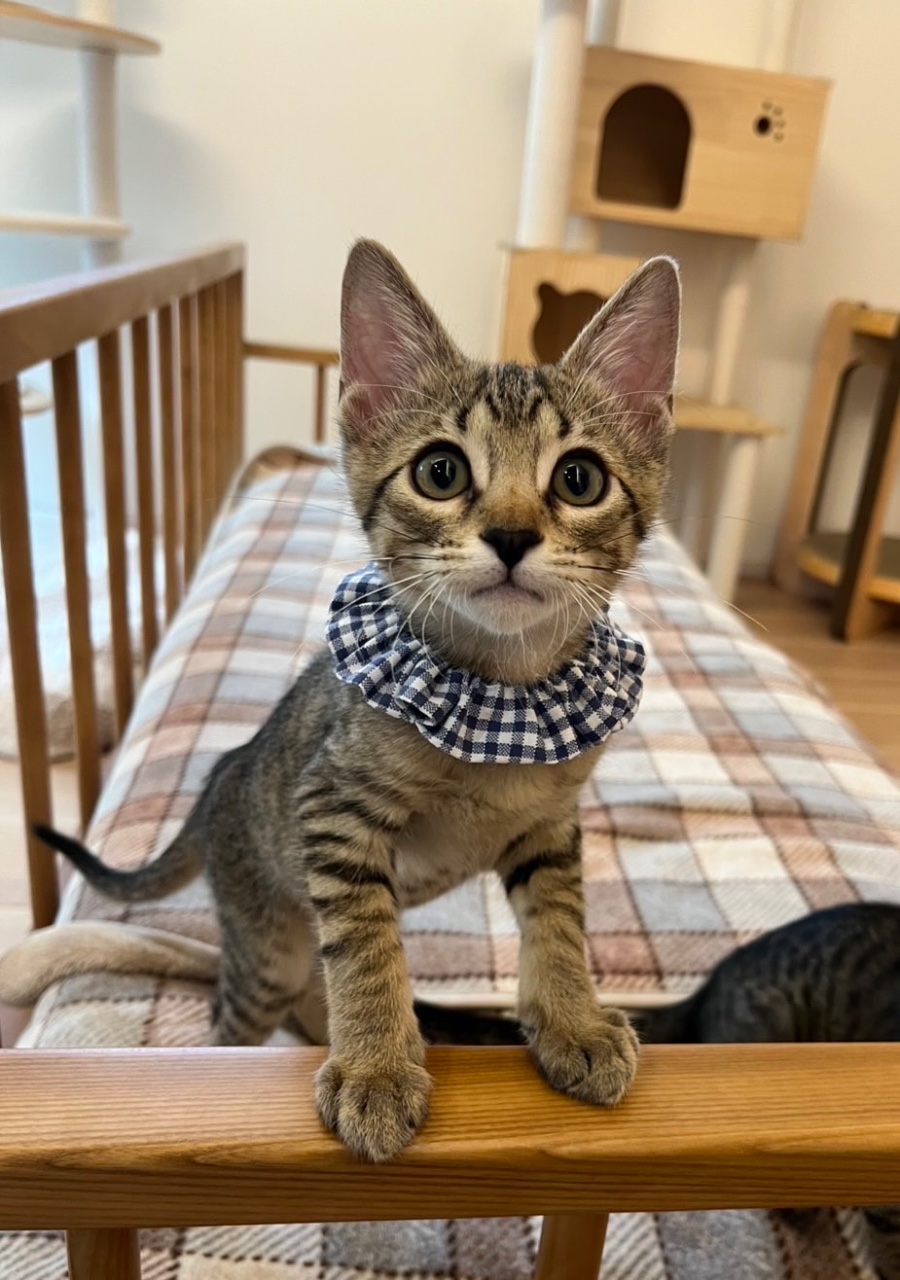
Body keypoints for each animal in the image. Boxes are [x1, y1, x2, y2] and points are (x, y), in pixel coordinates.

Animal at [11, 239, 681, 1162]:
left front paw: (571, 1020)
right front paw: (376, 1067)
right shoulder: (334, 808)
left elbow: (559, 918)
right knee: (240, 1013)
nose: (512, 536)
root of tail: (215, 784)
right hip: (267, 948)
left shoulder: (548, 824)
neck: (500, 696)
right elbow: (365, 943)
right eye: (441, 471)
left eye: (579, 479)